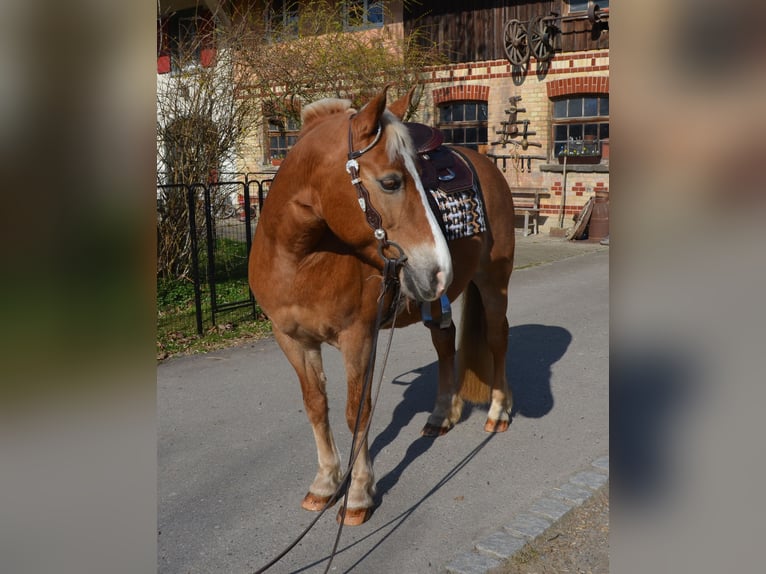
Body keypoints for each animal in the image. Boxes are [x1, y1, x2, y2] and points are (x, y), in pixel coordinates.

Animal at [248, 85, 516, 526]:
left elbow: (357, 410)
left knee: (497, 340)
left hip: (493, 284)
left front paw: (358, 494)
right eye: (391, 182)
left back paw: (498, 412)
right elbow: (316, 406)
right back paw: (441, 415)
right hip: (435, 301)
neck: (298, 259)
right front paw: (325, 483)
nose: (439, 267)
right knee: (446, 345)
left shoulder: (359, 337)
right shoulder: (292, 339)